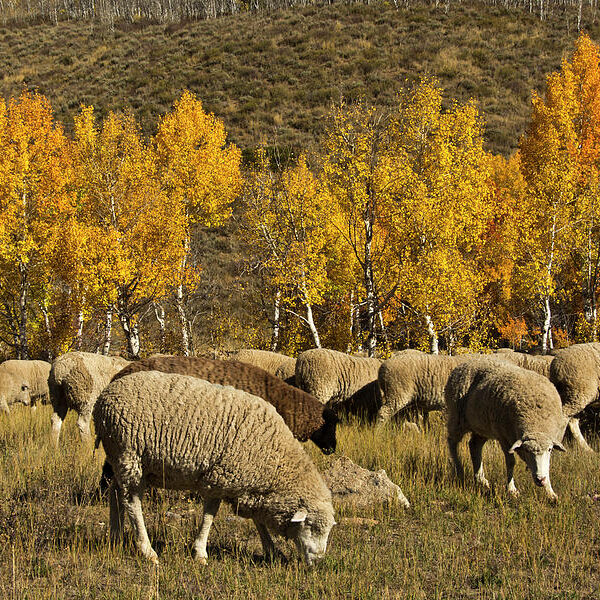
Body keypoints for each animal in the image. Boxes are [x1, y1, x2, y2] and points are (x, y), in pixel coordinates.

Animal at [94, 372, 338, 564]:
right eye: (311, 527)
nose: (319, 561)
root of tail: (105, 395)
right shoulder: (219, 478)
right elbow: (209, 516)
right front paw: (200, 552)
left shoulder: (247, 484)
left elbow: (257, 520)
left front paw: (272, 550)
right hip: (129, 455)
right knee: (132, 502)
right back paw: (147, 550)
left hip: (119, 457)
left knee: (116, 493)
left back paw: (116, 536)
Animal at [446, 356, 568, 502]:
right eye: (527, 451)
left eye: (550, 450)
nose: (540, 480)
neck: (535, 421)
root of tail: (466, 362)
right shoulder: (504, 437)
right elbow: (511, 462)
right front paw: (511, 490)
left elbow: (547, 466)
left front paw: (550, 493)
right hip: (457, 416)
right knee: (452, 442)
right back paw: (459, 470)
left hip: (481, 425)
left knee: (474, 446)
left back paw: (481, 480)